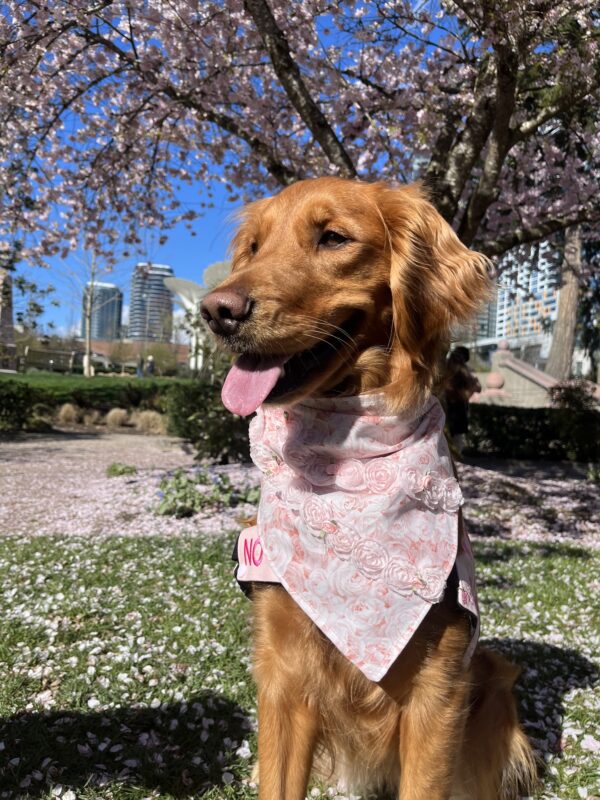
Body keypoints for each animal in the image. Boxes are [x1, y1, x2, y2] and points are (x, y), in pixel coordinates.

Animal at [199, 178, 536, 800]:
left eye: (333, 238)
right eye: (254, 247)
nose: (217, 311)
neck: (346, 465)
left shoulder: (437, 688)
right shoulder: (283, 677)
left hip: (491, 678)